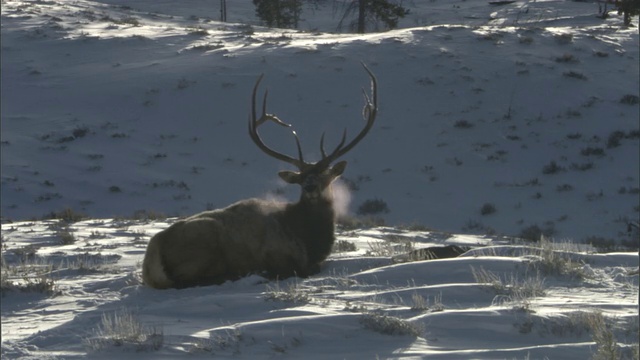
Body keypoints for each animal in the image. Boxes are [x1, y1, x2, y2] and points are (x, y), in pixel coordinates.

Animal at [142, 64, 378, 290]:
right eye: (301, 179)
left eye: (324, 175)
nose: (310, 187)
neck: (309, 239)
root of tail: (151, 256)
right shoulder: (279, 256)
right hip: (203, 244)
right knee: (186, 281)